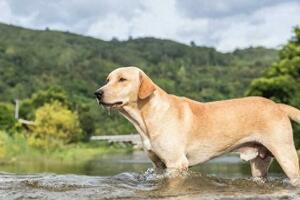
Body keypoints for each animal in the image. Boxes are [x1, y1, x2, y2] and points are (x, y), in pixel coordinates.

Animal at [95, 66, 300, 184]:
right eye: (107, 80)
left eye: (122, 79)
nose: (97, 93)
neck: (146, 117)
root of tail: (278, 105)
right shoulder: (159, 165)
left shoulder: (176, 164)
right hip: (259, 162)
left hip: (286, 154)